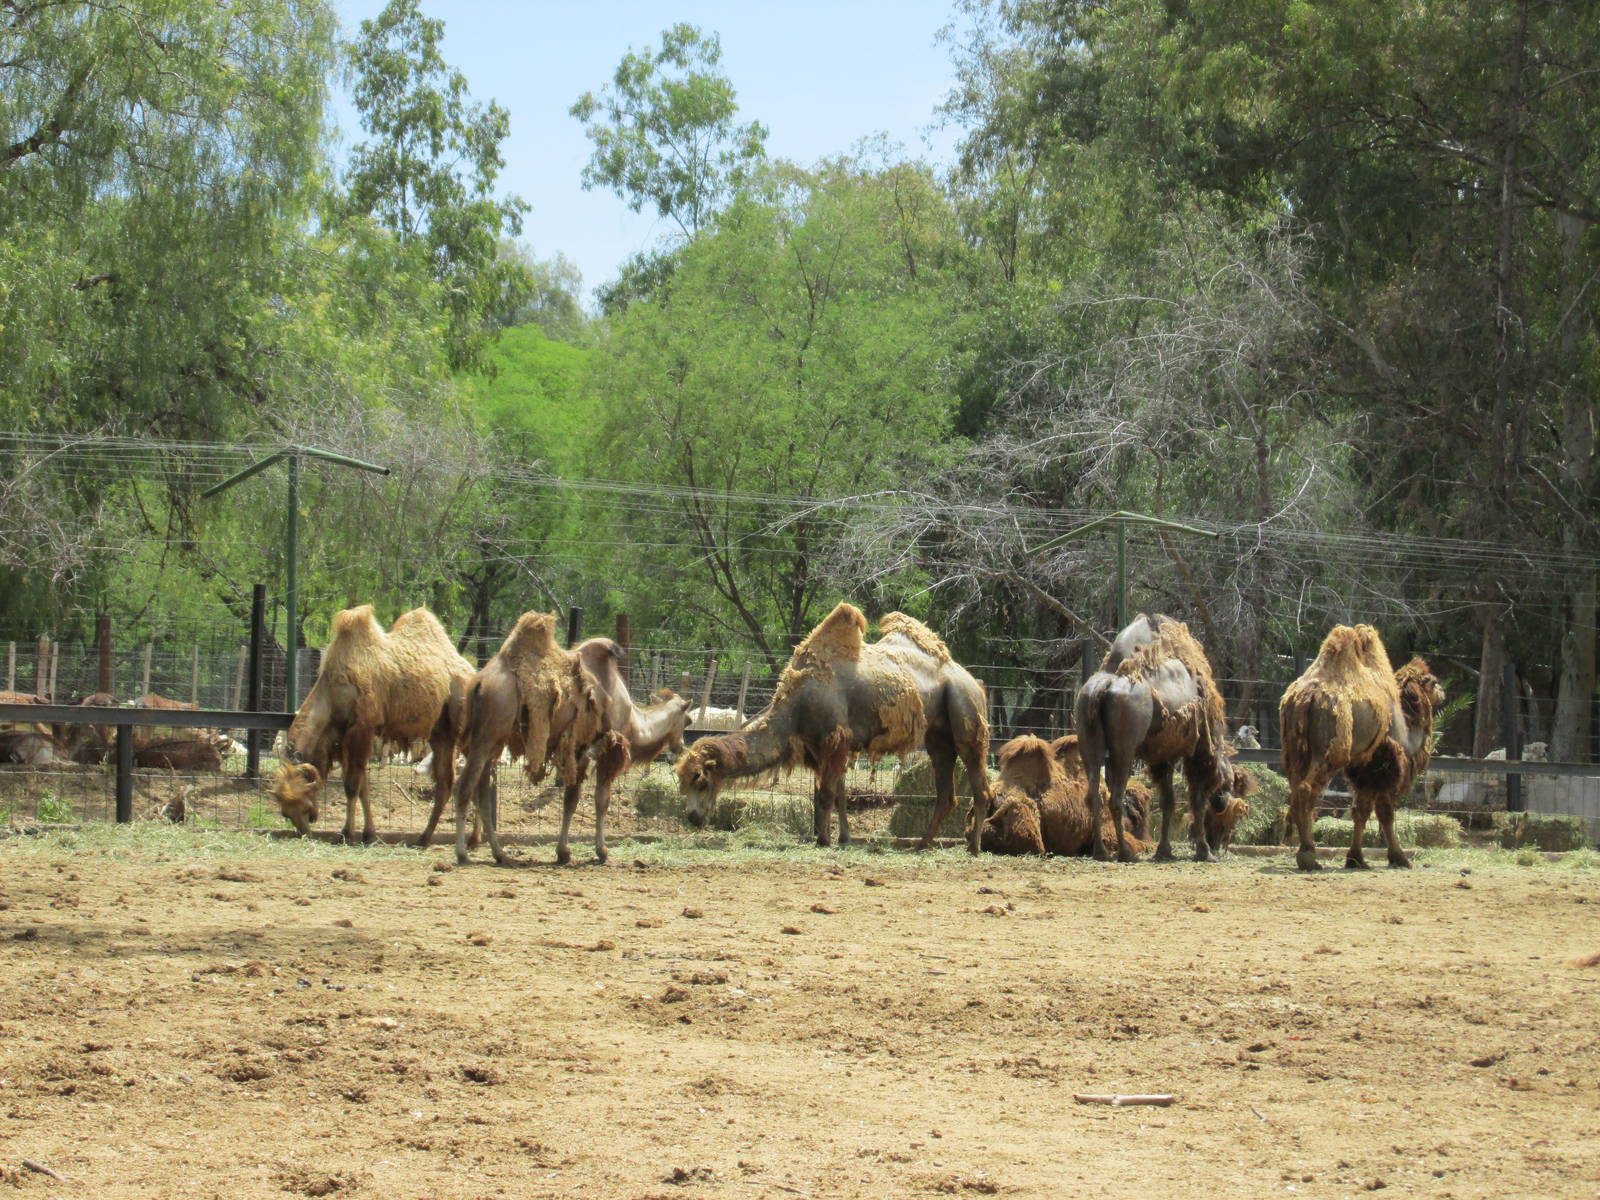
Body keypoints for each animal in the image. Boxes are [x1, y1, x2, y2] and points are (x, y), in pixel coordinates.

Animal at [270, 605, 474, 845]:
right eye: (285, 812)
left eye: (304, 804)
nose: (303, 832)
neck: (334, 692)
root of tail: (472, 674)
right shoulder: (343, 738)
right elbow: (362, 787)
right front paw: (369, 833)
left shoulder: (361, 729)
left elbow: (351, 786)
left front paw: (346, 833)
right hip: (441, 735)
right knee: (447, 783)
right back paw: (427, 838)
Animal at [451, 611, 607, 867]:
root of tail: (478, 685)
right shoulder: (580, 748)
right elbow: (578, 796)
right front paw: (576, 852)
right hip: (484, 740)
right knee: (465, 788)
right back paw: (463, 853)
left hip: (488, 743)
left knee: (482, 792)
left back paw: (500, 854)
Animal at [675, 603, 991, 851]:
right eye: (682, 782)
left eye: (700, 781)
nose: (692, 817)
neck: (799, 700)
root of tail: (971, 679)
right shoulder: (824, 746)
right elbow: (836, 793)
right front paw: (841, 837)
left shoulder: (833, 738)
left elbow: (827, 793)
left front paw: (823, 840)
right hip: (938, 735)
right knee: (946, 793)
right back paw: (923, 844)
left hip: (966, 714)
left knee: (978, 780)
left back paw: (974, 847)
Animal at [1075, 613, 1249, 863]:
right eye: (1230, 780)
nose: (1222, 802)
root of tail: (1105, 684)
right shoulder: (1195, 754)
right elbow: (1195, 801)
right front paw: (1204, 851)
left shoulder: (1162, 758)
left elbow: (1168, 802)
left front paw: (1164, 850)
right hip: (1123, 751)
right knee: (1116, 798)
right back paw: (1126, 853)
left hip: (1091, 747)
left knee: (1094, 795)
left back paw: (1102, 852)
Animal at [1280, 625, 1444, 871]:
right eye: (1433, 680)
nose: (1443, 691)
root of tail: (1306, 697)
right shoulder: (1382, 767)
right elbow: (1384, 812)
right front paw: (1399, 858)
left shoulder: (1361, 769)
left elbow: (1360, 811)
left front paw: (1355, 858)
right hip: (1330, 752)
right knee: (1307, 790)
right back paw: (1308, 856)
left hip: (1293, 752)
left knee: (1296, 789)